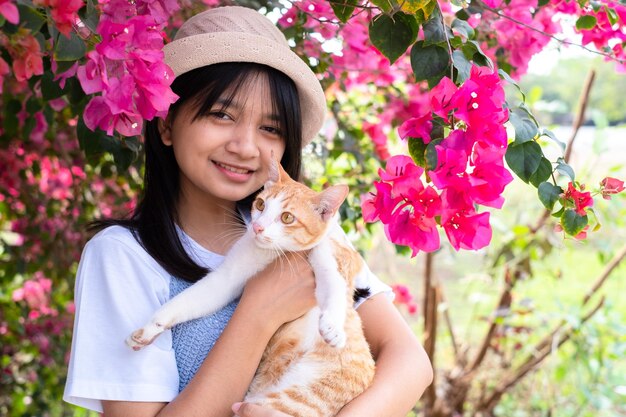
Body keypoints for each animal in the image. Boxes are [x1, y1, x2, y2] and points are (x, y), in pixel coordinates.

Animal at [124, 158, 372, 414]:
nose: (257, 227)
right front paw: (150, 329)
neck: (272, 254)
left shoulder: (329, 255)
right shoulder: (227, 278)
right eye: (261, 204)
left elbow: (333, 286)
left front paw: (333, 327)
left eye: (287, 218)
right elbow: (188, 300)